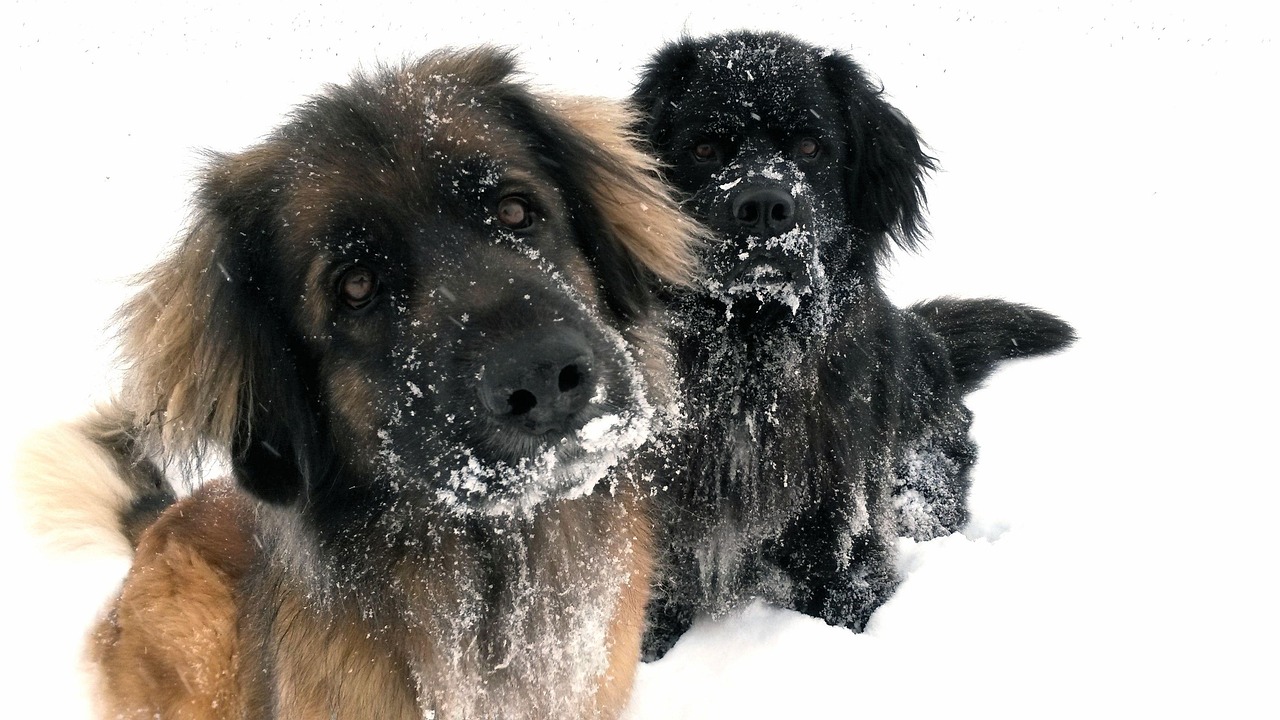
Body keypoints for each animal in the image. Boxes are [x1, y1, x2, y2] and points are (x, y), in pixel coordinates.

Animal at [634, 30, 1075, 653]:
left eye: (809, 146)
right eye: (704, 150)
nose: (764, 205)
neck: (751, 356)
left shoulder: (842, 521)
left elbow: (842, 591)